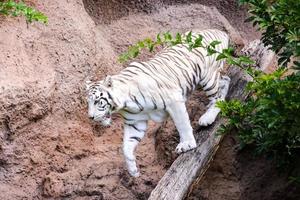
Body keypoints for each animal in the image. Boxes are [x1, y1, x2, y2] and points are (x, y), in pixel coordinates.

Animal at [85, 29, 231, 177]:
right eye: (88, 103)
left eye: (97, 101)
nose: (90, 117)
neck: (126, 104)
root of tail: (219, 32)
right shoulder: (135, 122)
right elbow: (126, 146)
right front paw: (133, 170)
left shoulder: (174, 100)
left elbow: (182, 124)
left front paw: (187, 144)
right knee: (226, 80)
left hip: (207, 77)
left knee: (218, 95)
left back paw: (207, 118)